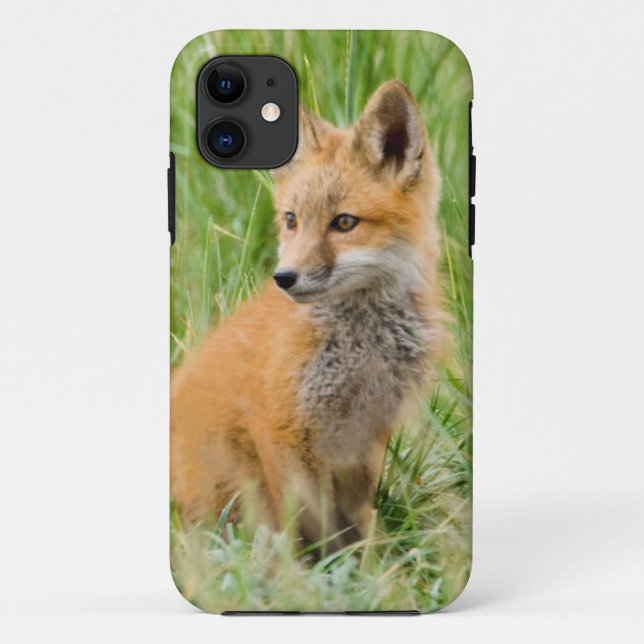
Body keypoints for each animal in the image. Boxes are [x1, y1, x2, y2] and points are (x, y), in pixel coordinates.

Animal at [171, 80, 444, 550]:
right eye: (291, 220)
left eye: (345, 223)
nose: (284, 277)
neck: (363, 347)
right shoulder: (282, 428)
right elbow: (309, 525)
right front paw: (318, 568)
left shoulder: (366, 437)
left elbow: (356, 522)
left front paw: (369, 562)